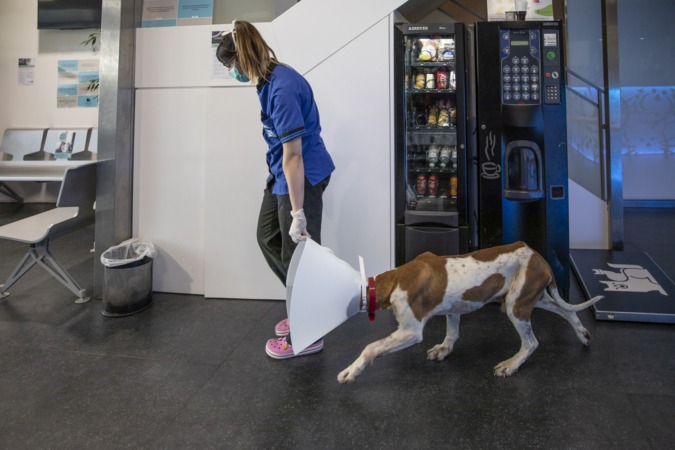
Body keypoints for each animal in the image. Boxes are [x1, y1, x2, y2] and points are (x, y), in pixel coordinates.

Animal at [338, 243, 604, 384]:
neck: (394, 280)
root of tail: (539, 257)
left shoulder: (410, 331)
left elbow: (371, 347)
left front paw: (352, 370)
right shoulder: (453, 308)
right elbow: (451, 334)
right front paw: (443, 349)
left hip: (516, 306)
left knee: (531, 342)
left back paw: (511, 364)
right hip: (526, 298)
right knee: (565, 311)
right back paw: (583, 335)